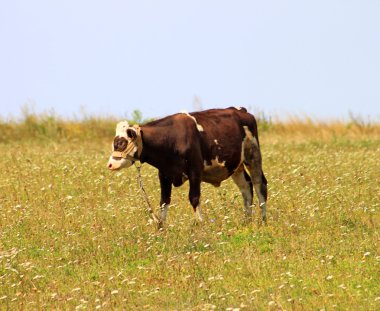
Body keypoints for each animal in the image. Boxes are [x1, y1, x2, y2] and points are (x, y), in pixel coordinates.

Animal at [107, 108, 268, 228]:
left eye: (121, 143)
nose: (110, 164)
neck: (172, 138)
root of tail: (240, 110)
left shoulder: (195, 171)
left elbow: (194, 198)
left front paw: (201, 224)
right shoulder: (164, 174)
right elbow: (164, 201)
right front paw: (161, 229)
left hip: (253, 155)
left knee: (259, 184)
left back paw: (263, 220)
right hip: (235, 165)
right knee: (246, 187)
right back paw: (246, 221)